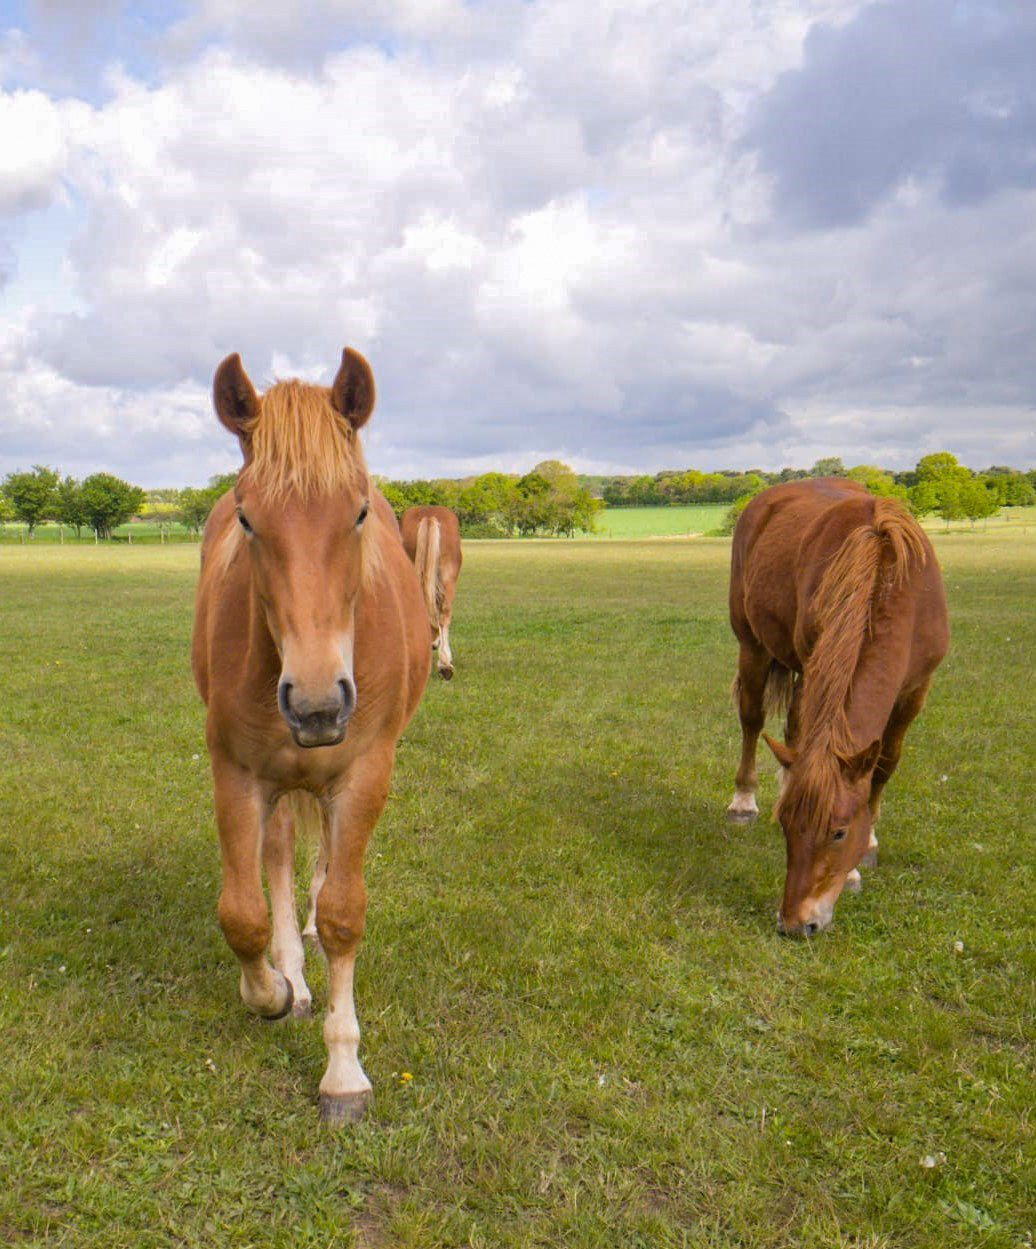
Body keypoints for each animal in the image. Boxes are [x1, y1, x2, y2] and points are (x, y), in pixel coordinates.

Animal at [191, 347, 430, 1123]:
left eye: (357, 511)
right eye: (246, 518)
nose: (319, 704)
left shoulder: (363, 774)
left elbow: (345, 912)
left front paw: (344, 1070)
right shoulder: (237, 774)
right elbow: (243, 912)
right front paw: (273, 990)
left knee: (324, 866)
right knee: (278, 863)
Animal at [726, 478, 948, 936]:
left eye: (840, 833)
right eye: (787, 828)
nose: (796, 923)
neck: (890, 581)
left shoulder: (916, 689)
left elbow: (885, 762)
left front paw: (870, 845)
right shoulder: (817, 664)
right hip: (752, 646)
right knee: (753, 720)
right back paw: (744, 800)